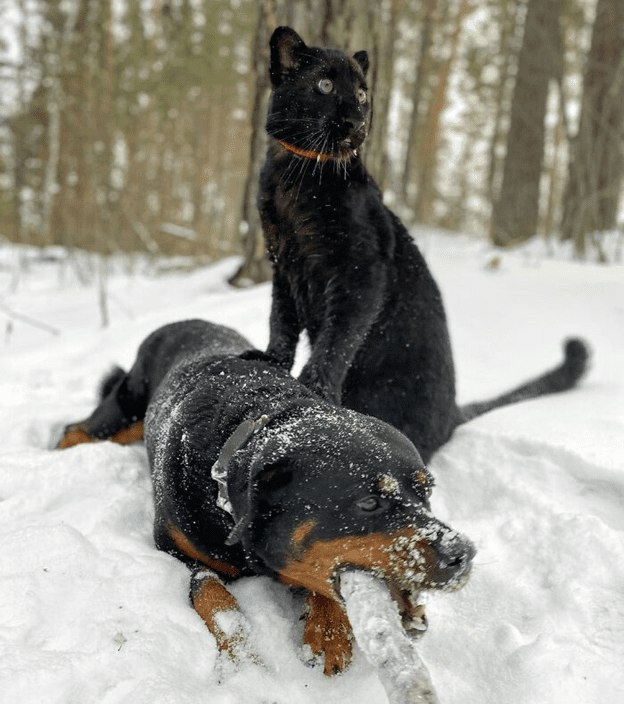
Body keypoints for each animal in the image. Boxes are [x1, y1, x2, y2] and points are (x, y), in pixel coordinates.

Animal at [59, 318, 472, 672]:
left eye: (426, 491)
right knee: (79, 428)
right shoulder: (175, 549)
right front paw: (241, 654)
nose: (463, 553)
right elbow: (213, 596)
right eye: (368, 503)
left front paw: (328, 627)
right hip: (124, 408)